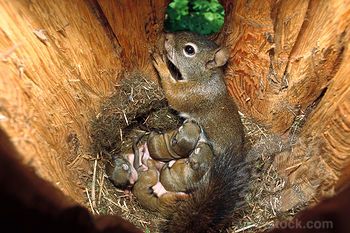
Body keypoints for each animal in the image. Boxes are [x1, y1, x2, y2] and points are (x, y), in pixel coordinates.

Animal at [152, 31, 250, 233]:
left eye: (189, 50)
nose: (168, 37)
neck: (205, 78)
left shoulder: (192, 96)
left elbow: (173, 95)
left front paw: (162, 65)